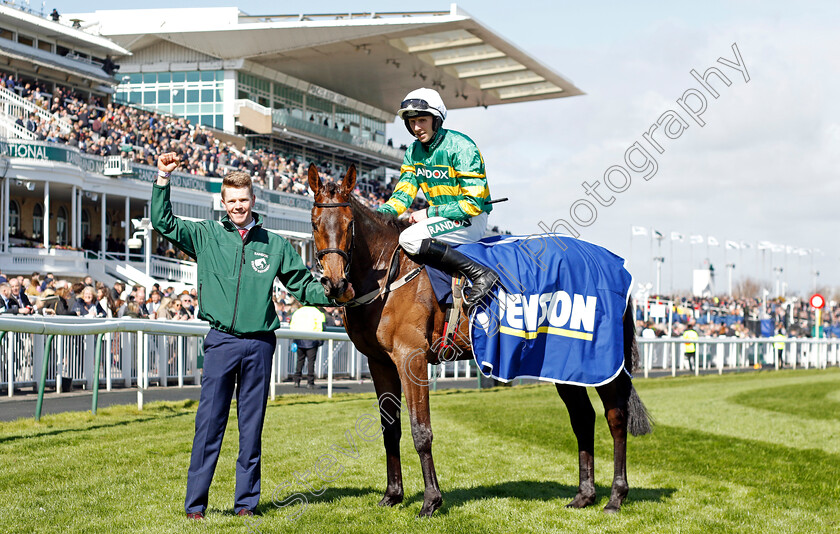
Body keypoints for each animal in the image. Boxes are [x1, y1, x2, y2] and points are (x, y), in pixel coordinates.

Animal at [310, 165, 656, 516]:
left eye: (349, 224)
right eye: (314, 223)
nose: (335, 283)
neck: (390, 275)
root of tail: (615, 264)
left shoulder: (412, 358)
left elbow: (421, 431)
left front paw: (431, 501)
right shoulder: (379, 361)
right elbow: (389, 430)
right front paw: (392, 495)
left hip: (601, 360)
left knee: (616, 418)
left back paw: (616, 496)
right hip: (565, 361)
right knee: (583, 418)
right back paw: (584, 495)